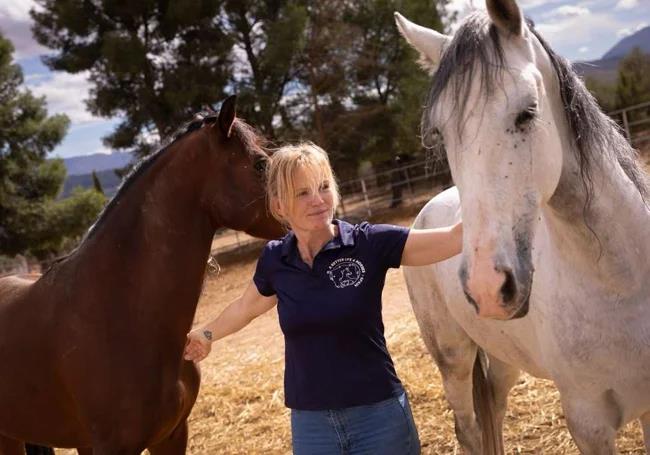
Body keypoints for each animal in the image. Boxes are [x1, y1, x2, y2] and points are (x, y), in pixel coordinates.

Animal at [395, 1, 650, 453]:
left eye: (527, 112)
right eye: (440, 133)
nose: (486, 288)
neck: (623, 283)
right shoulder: (588, 423)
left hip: (501, 356)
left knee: (493, 409)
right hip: (453, 359)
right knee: (469, 428)